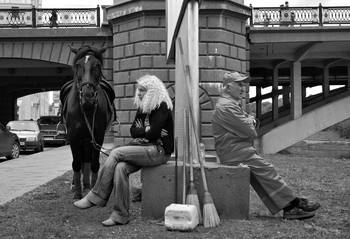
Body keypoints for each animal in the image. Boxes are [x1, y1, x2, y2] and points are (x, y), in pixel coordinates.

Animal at [59, 44, 115, 200]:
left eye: (97, 66)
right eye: (78, 65)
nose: (87, 95)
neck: (86, 107)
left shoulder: (98, 136)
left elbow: (94, 163)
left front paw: (92, 190)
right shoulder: (73, 136)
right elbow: (76, 163)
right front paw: (78, 193)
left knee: (87, 160)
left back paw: (87, 184)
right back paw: (77, 185)